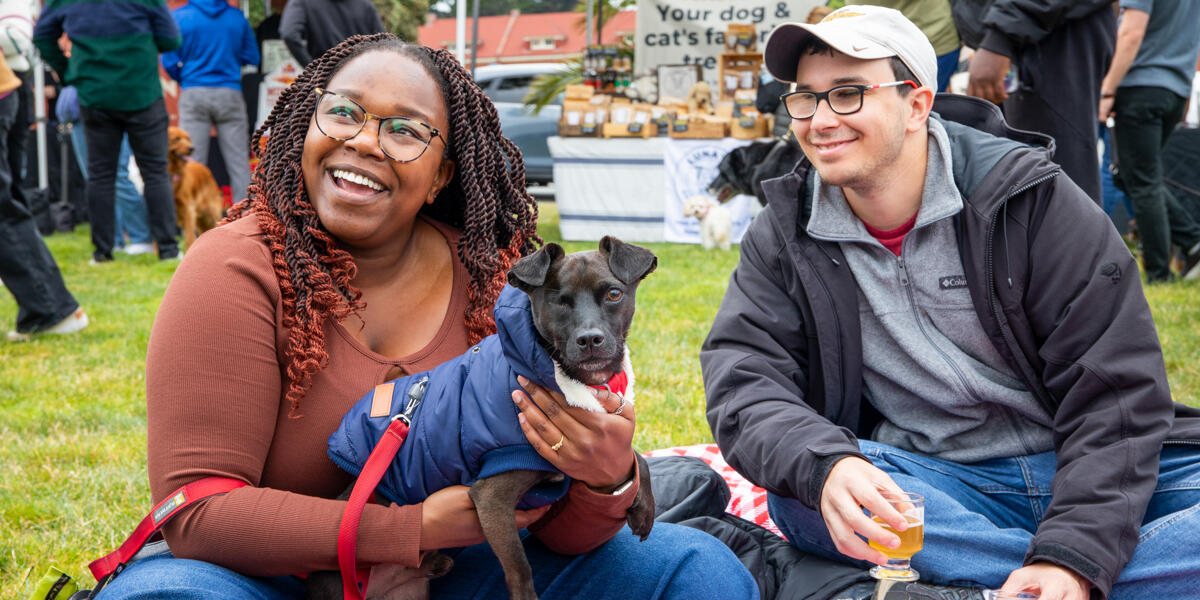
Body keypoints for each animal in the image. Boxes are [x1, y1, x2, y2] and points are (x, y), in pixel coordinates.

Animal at [309, 236, 657, 600]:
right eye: (558, 301)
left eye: (614, 294)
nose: (590, 339)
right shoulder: (492, 498)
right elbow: (519, 568)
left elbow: (634, 456)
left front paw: (644, 509)